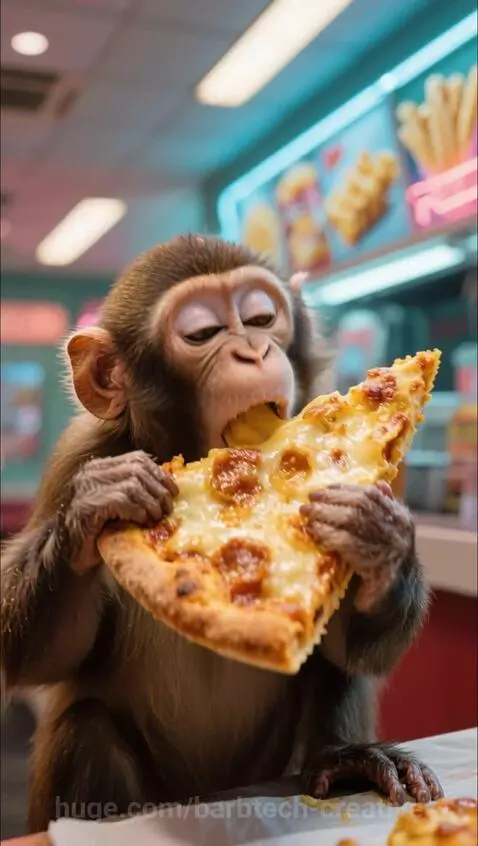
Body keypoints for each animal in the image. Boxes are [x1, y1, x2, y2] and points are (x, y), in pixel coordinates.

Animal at [0, 235, 442, 833]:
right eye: (202, 333)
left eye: (261, 319)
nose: (253, 350)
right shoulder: (76, 455)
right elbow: (38, 655)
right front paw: (95, 505)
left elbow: (351, 647)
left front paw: (378, 536)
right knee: (87, 729)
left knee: (335, 675)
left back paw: (347, 760)